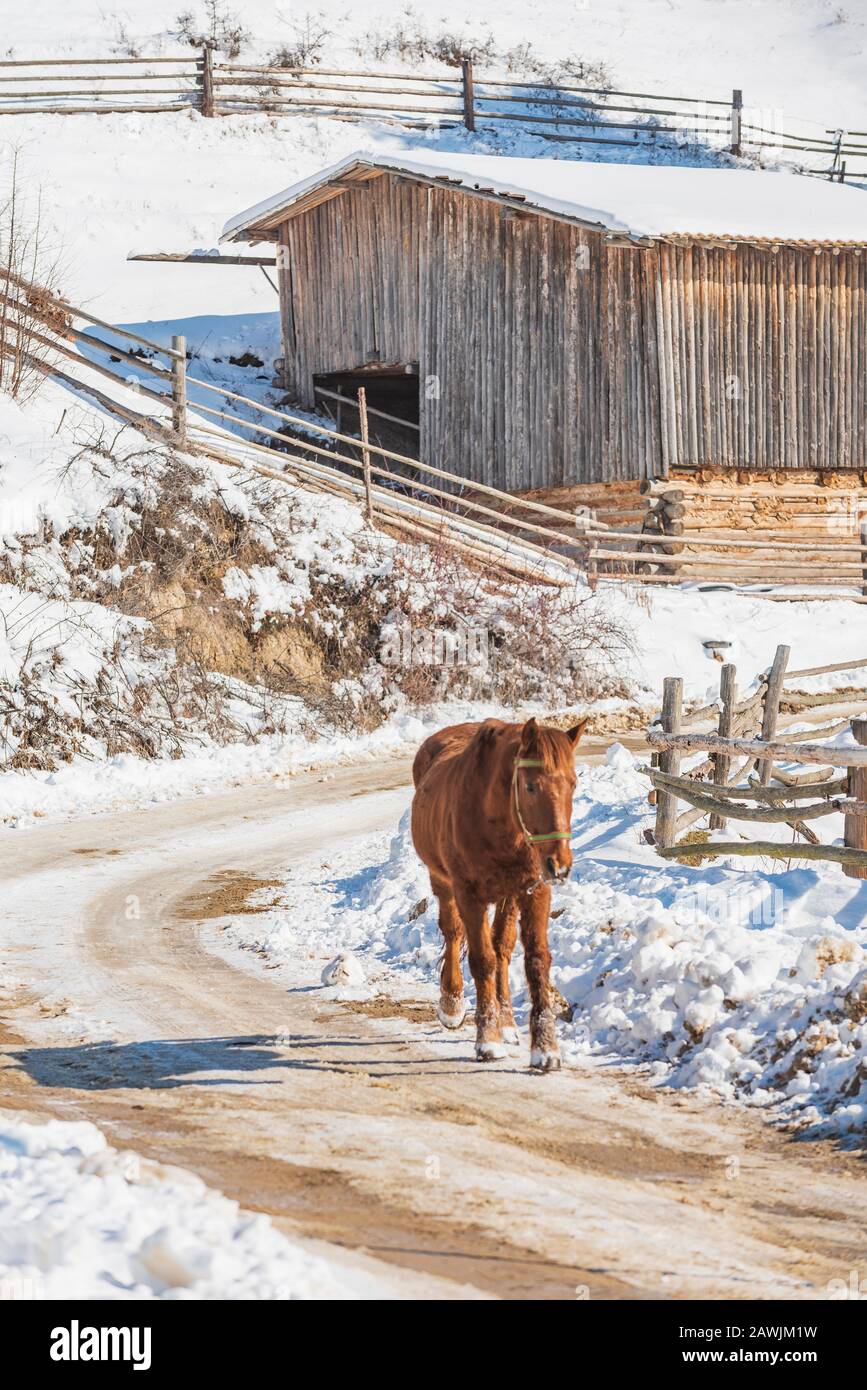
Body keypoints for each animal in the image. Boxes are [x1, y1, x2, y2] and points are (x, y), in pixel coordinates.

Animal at [408, 717, 586, 1073]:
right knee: (454, 933)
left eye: (572, 784)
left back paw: (506, 1021)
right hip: (443, 882)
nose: (559, 865)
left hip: (508, 895)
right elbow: (482, 960)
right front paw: (487, 1041)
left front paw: (545, 1049)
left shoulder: (534, 891)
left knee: (502, 945)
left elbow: (534, 961)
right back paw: (452, 1004)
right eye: (530, 786)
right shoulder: (469, 893)